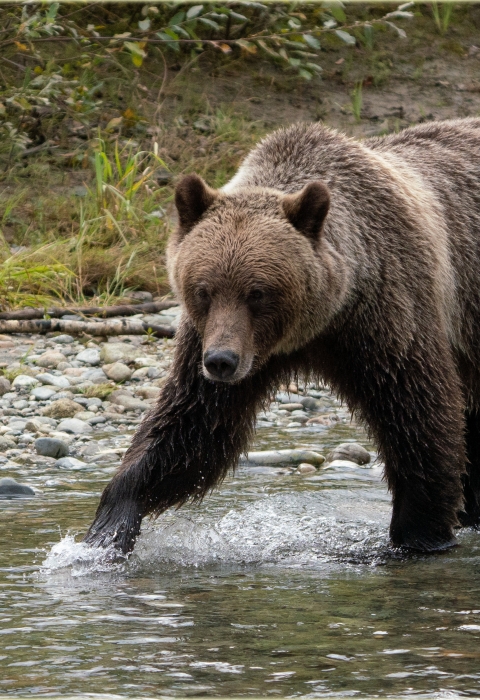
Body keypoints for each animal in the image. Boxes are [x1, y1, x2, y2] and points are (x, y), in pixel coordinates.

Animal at [84, 118, 480, 556]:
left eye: (257, 292)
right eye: (203, 290)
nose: (221, 362)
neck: (315, 325)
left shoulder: (385, 314)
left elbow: (417, 414)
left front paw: (420, 534)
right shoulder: (215, 343)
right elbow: (191, 428)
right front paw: (106, 530)